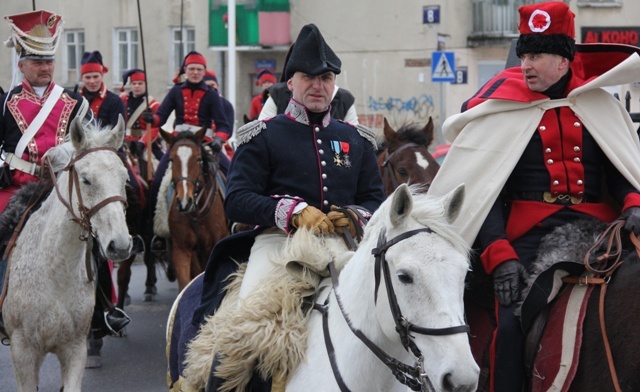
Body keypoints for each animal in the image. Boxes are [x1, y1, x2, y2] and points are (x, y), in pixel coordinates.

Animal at [1, 116, 132, 392]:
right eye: (86, 179)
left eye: (124, 178)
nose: (120, 244)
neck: (56, 272)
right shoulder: (22, 350)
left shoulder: (74, 349)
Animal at [160, 128, 230, 290]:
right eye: (171, 160)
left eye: (198, 159)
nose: (185, 201)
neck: (197, 213)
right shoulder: (181, 249)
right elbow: (185, 283)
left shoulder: (213, 247)